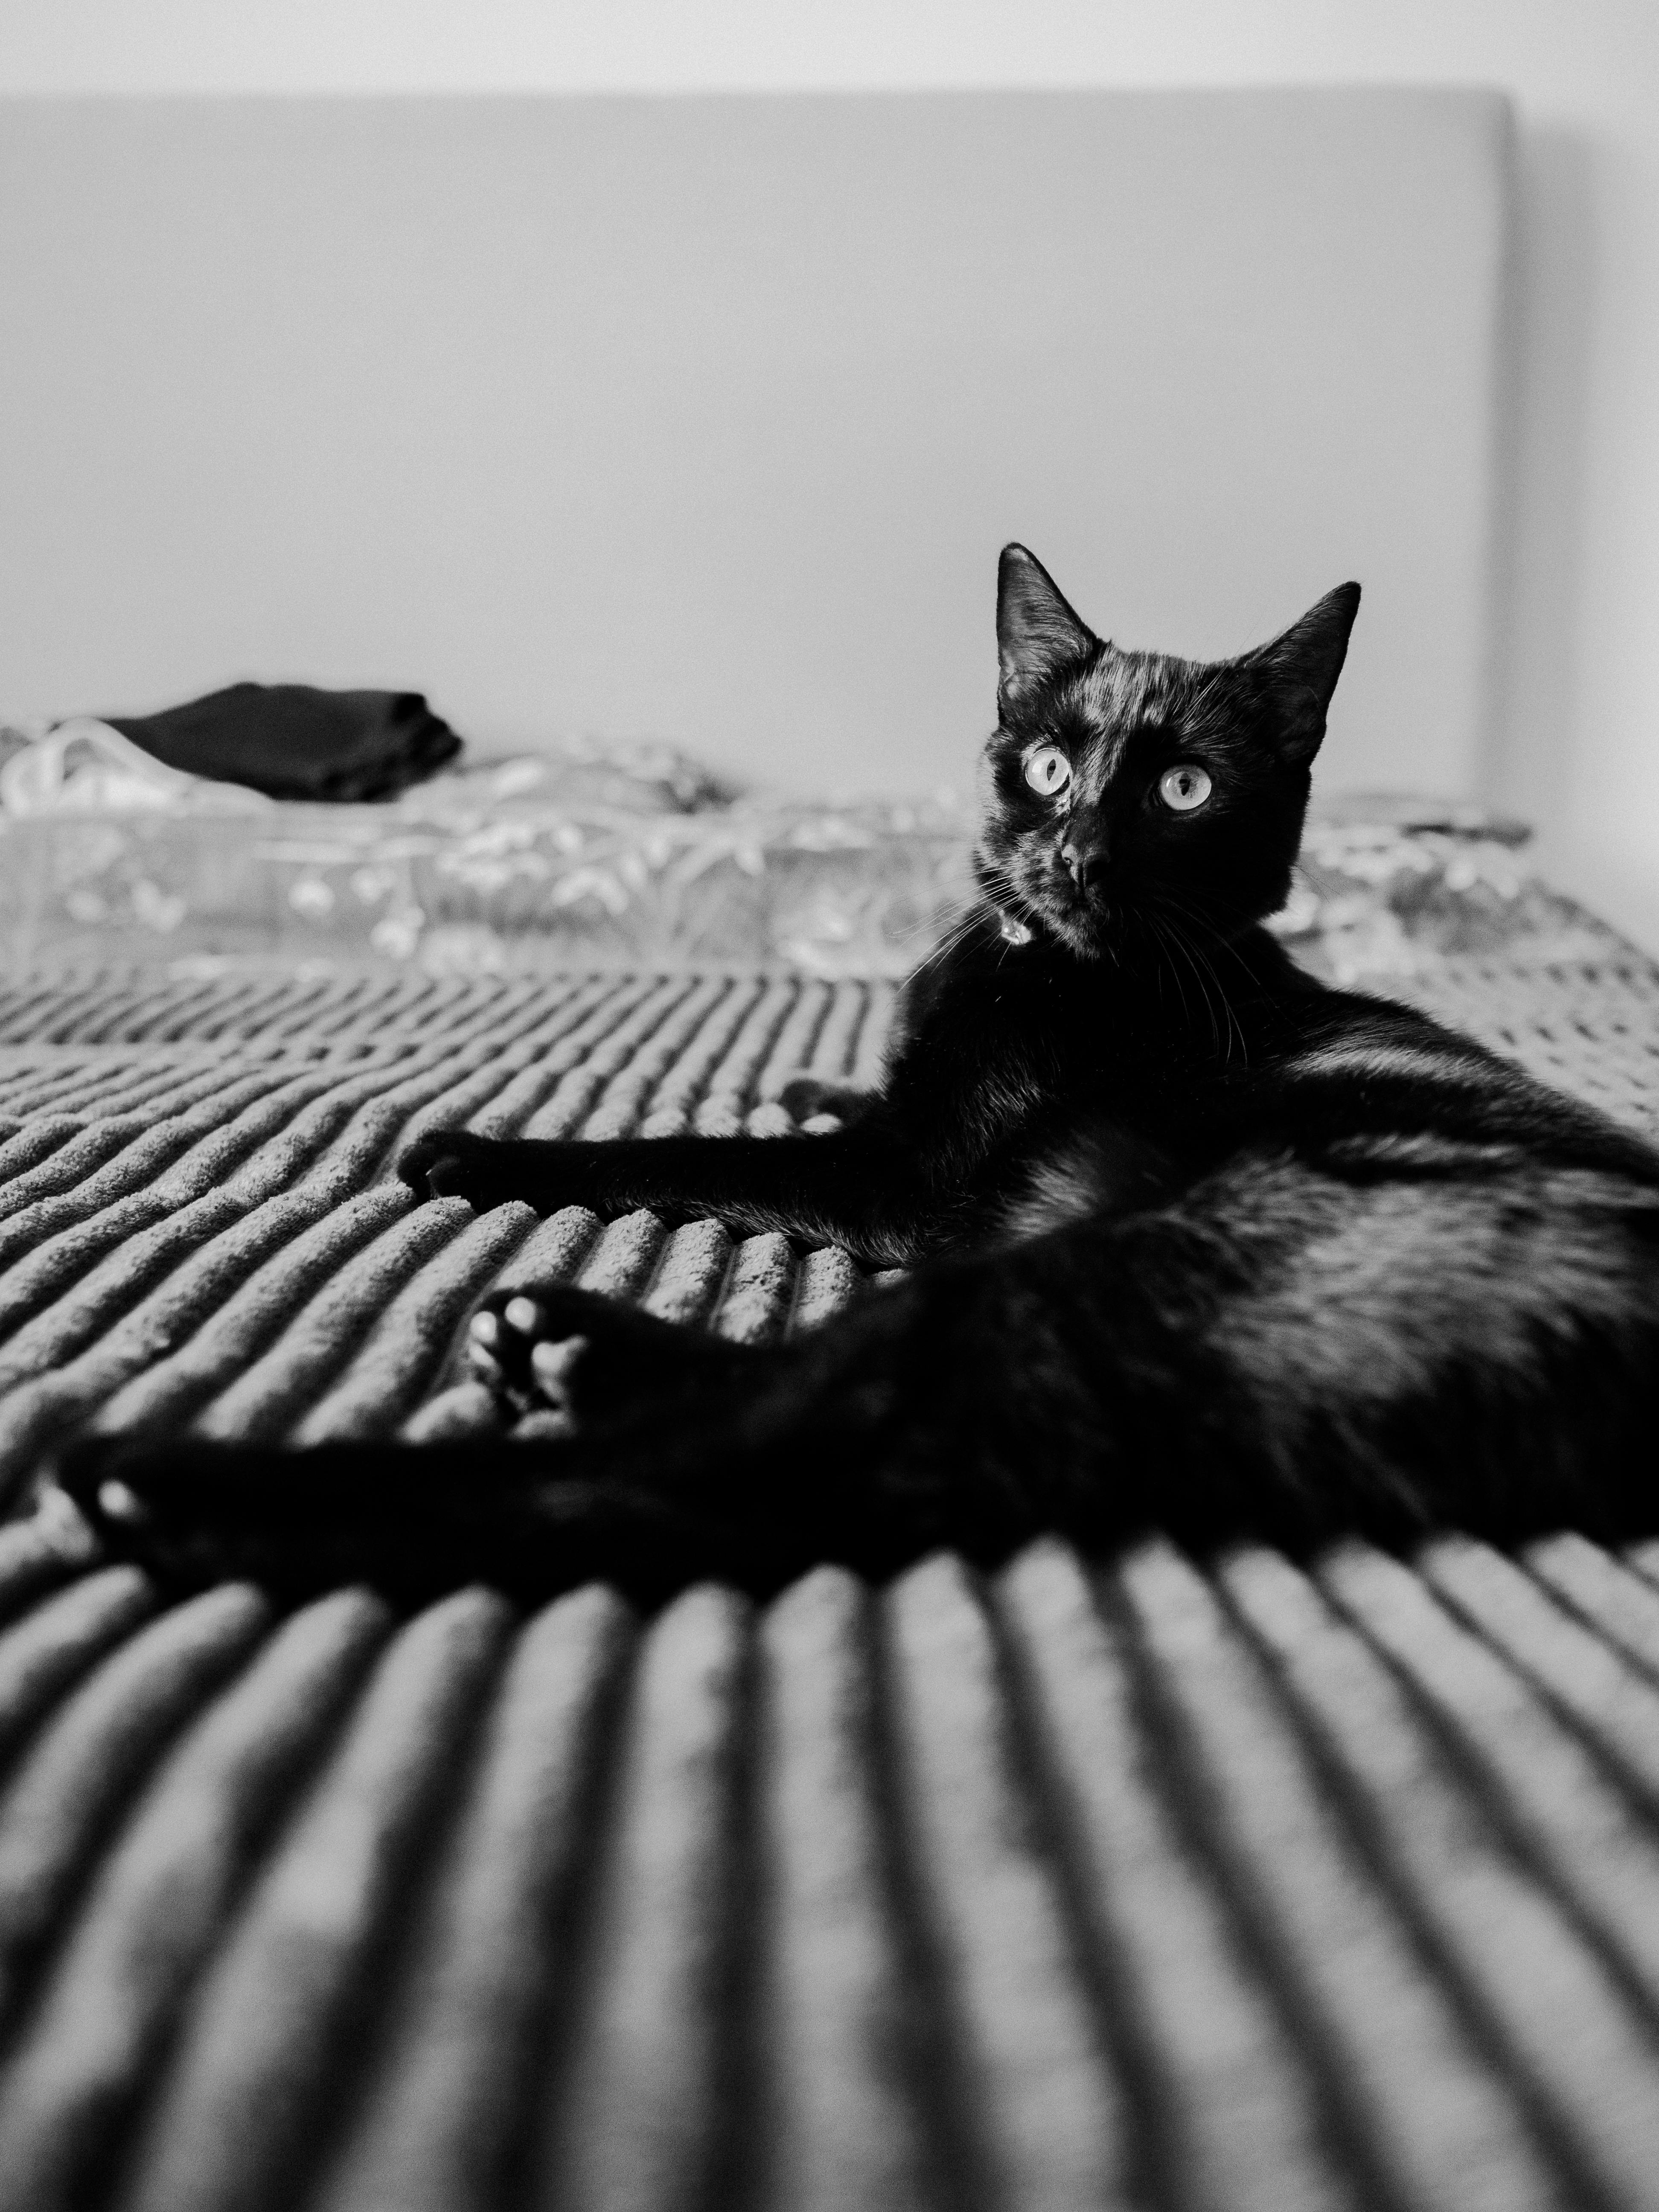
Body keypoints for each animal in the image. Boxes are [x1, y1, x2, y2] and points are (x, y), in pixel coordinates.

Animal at [52, 544, 1659, 1601]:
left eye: (1183, 787)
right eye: (1050, 765)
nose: (1074, 855)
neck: (1036, 961)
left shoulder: (911, 1184)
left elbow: (692, 1152)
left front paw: (479, 1150)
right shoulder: (907, 1142)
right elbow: (819, 1105)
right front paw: (804, 1078)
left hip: (1123, 1276)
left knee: (716, 1476)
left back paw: (164, 1483)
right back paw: (560, 1340)